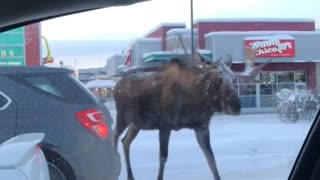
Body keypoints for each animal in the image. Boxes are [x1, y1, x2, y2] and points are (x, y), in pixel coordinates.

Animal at [114, 46, 272, 180]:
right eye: (215, 80)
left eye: (233, 80)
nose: (236, 106)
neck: (195, 102)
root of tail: (117, 85)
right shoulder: (165, 125)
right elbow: (163, 157)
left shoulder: (201, 127)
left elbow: (211, 159)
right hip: (122, 117)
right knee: (115, 136)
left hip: (136, 123)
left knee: (125, 141)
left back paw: (130, 176)